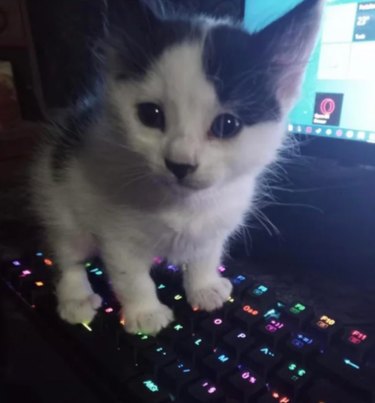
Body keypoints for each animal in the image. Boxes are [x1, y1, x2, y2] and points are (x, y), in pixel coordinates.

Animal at [30, 0, 324, 334]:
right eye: (150, 114)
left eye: (227, 125)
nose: (179, 164)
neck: (183, 204)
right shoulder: (116, 231)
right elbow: (130, 275)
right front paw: (146, 313)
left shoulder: (218, 221)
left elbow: (206, 254)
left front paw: (204, 287)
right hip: (57, 198)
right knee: (68, 253)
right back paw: (76, 297)